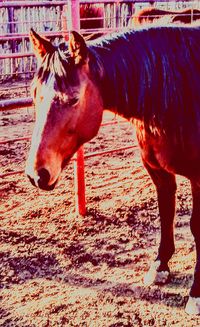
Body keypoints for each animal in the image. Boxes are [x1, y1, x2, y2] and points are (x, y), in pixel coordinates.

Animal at [25, 26, 200, 316]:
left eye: (73, 98)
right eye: (34, 94)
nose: (37, 174)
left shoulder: (199, 179)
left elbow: (196, 227)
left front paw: (196, 293)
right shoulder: (158, 172)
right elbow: (166, 214)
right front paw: (160, 267)